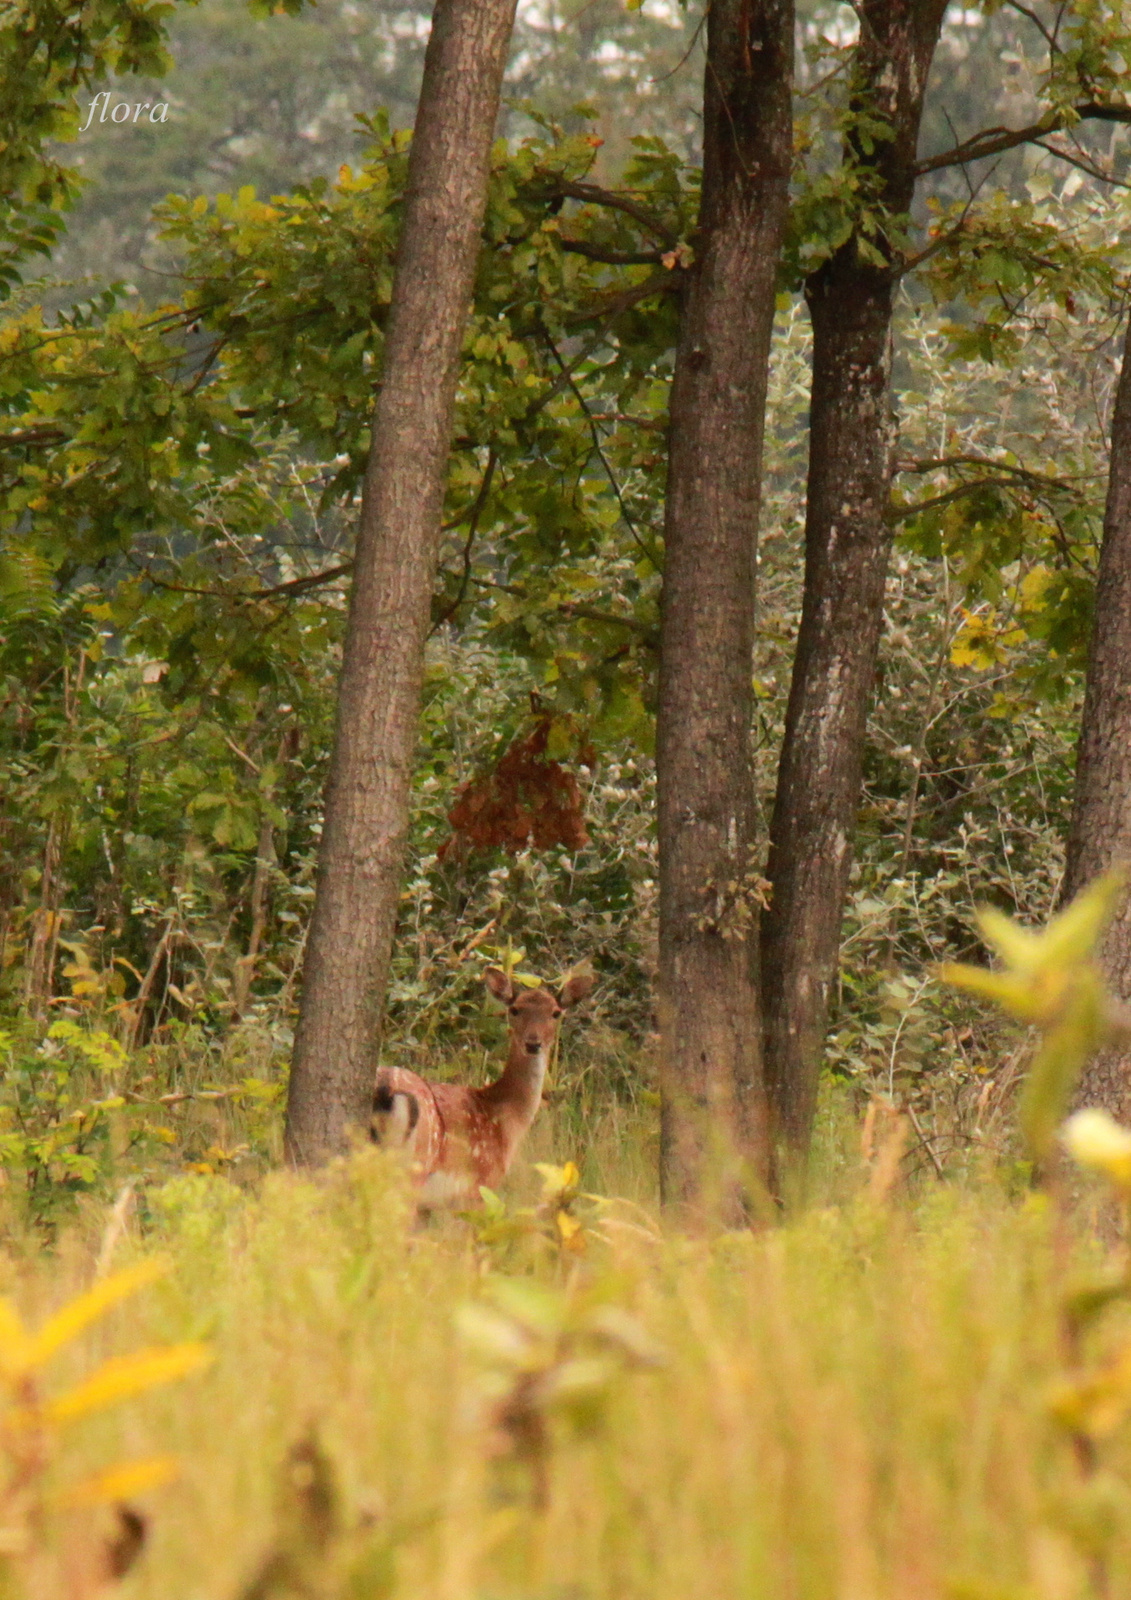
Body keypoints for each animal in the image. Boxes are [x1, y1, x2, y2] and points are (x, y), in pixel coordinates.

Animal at [374, 966, 601, 1203]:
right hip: (414, 1167)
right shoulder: (480, 1186)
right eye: (515, 1010)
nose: (533, 1043)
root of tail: (386, 1091)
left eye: (556, 1012)